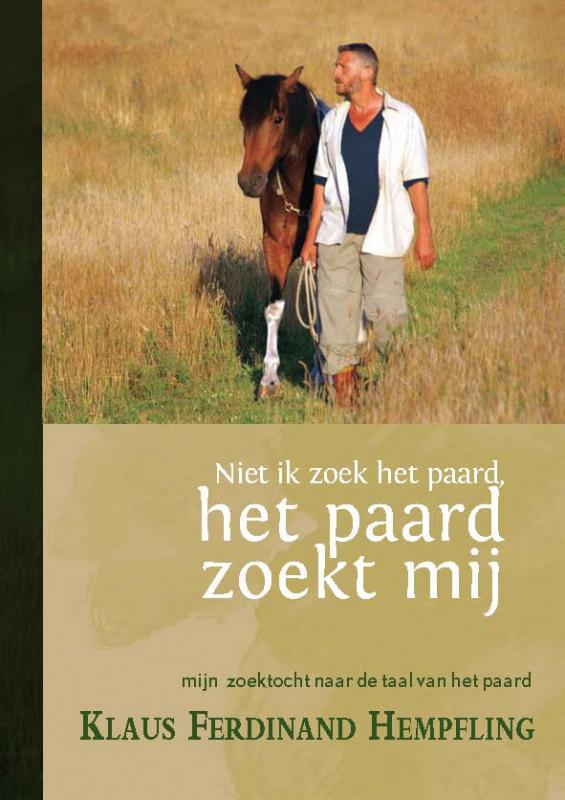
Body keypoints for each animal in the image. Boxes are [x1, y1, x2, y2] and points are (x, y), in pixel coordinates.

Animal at [235, 64, 326, 399]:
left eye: (278, 118)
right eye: (243, 118)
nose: (249, 181)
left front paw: (320, 372)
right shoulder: (275, 246)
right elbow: (274, 307)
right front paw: (269, 379)